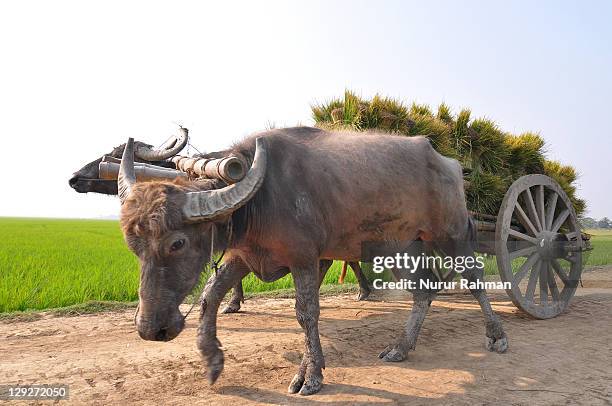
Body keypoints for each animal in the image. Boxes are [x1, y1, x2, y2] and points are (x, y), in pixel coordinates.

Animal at [115, 127, 506, 396]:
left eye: (177, 243)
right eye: (133, 245)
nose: (150, 328)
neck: (261, 199)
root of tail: (449, 163)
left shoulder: (303, 258)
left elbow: (306, 313)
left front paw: (311, 374)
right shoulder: (245, 257)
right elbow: (210, 297)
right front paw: (212, 360)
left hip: (450, 236)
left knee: (473, 278)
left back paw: (496, 335)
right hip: (400, 246)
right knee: (423, 290)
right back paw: (401, 347)